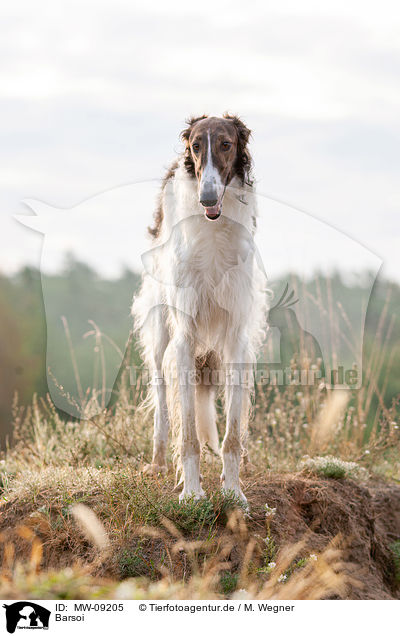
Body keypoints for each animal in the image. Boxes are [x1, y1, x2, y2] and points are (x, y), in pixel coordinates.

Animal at [132, 113, 268, 502]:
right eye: (195, 146)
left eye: (226, 144)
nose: (206, 196)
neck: (214, 232)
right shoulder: (185, 336)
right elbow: (188, 435)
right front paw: (192, 492)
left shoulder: (237, 336)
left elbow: (232, 433)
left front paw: (233, 492)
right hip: (160, 334)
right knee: (163, 404)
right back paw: (158, 463)